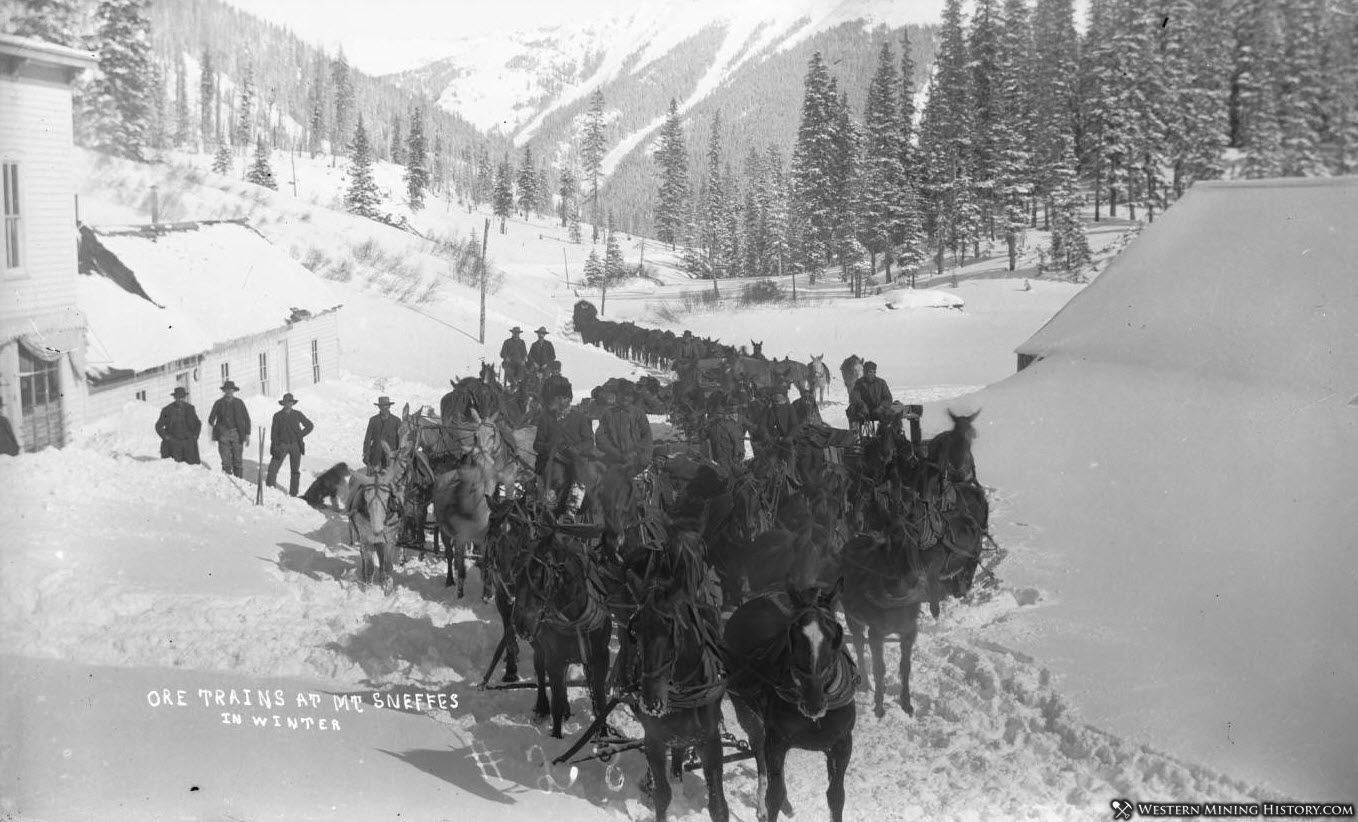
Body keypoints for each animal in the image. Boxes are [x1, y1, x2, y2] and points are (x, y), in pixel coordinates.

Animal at [510, 532, 613, 739]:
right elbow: (556, 700)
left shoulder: (600, 655)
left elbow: (600, 699)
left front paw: (604, 735)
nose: (520, 624)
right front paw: (557, 736)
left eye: (540, 577)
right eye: (515, 576)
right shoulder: (554, 658)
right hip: (540, 648)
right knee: (541, 671)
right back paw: (542, 707)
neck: (575, 618)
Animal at [727, 576, 852, 820]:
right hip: (744, 706)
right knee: (759, 749)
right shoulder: (776, 740)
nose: (813, 704)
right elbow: (773, 795)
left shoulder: (842, 743)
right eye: (794, 634)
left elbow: (836, 797)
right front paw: (770, 804)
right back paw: (763, 805)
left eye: (834, 635)